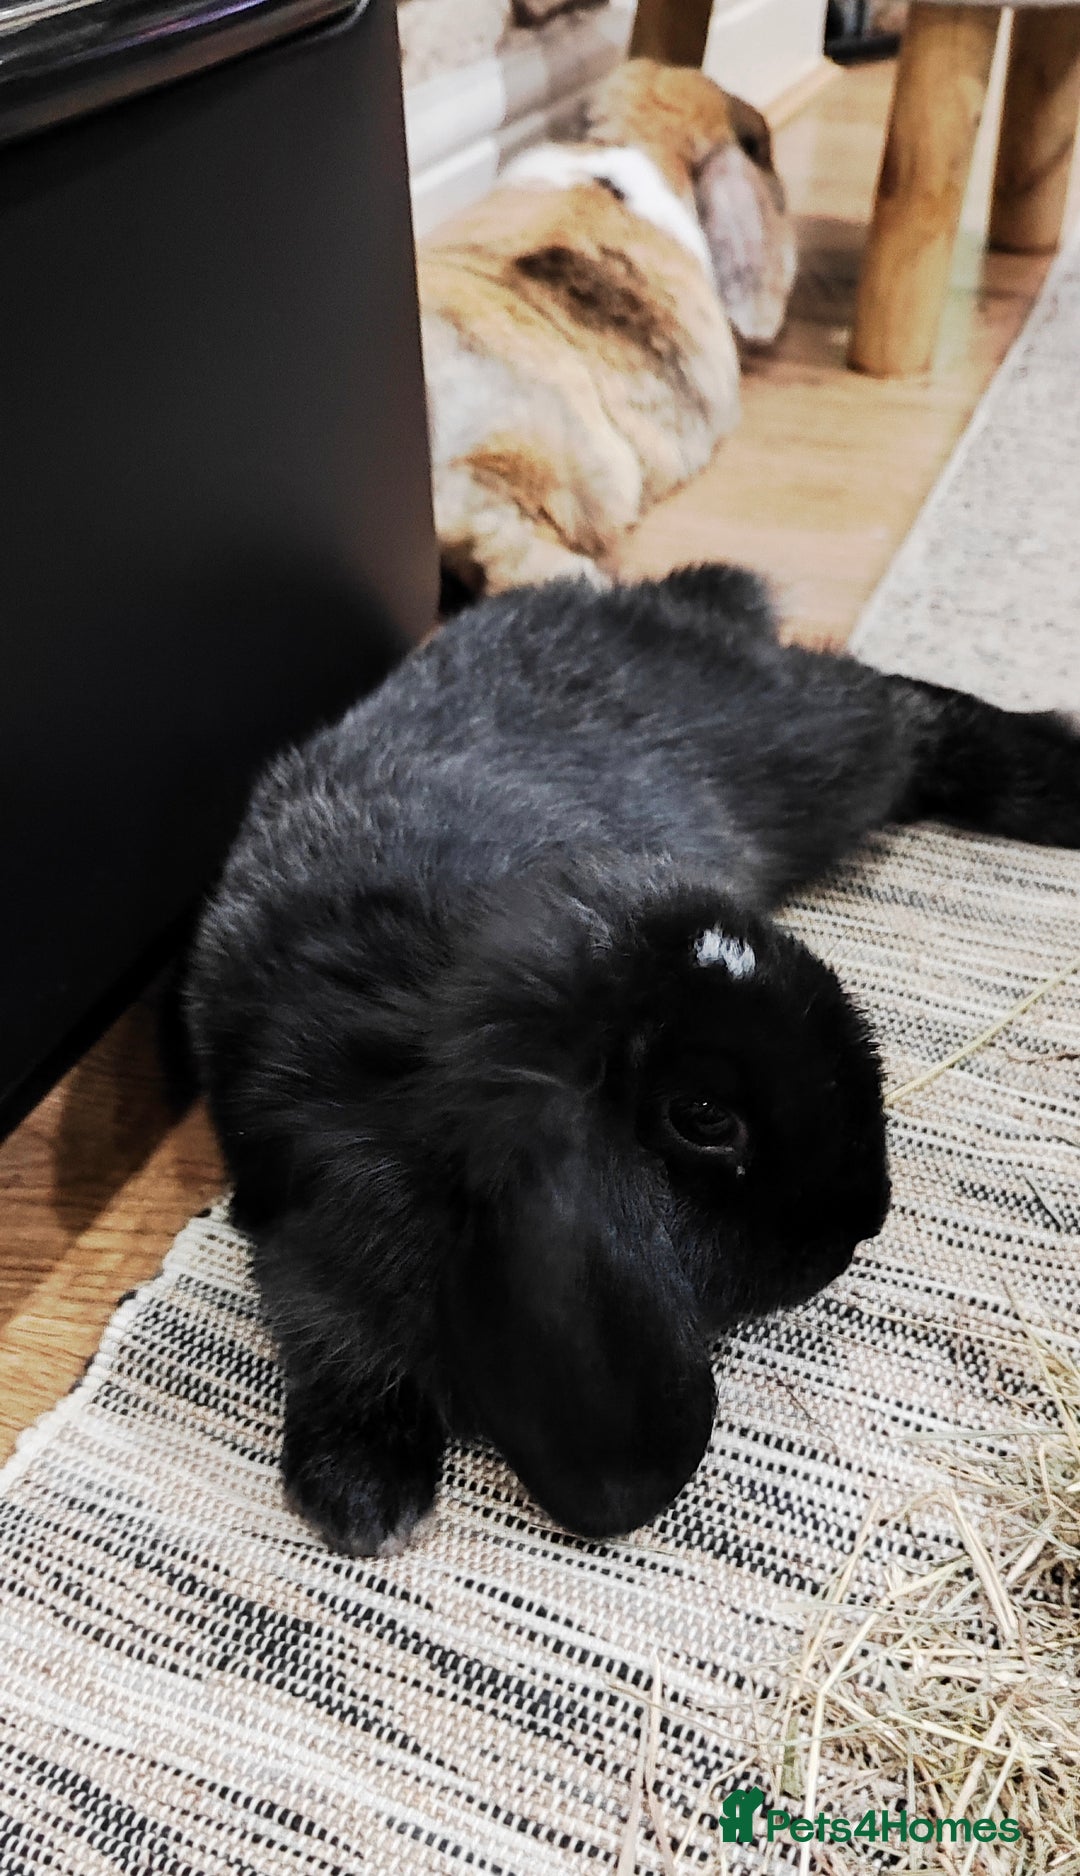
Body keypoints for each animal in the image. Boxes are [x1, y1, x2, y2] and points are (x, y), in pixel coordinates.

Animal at [186, 565, 1080, 1555]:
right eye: (704, 1118)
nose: (859, 1230)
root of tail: (657, 595)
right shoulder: (300, 1216)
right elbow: (327, 1336)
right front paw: (362, 1495)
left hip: (802, 752)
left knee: (907, 710)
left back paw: (1067, 781)